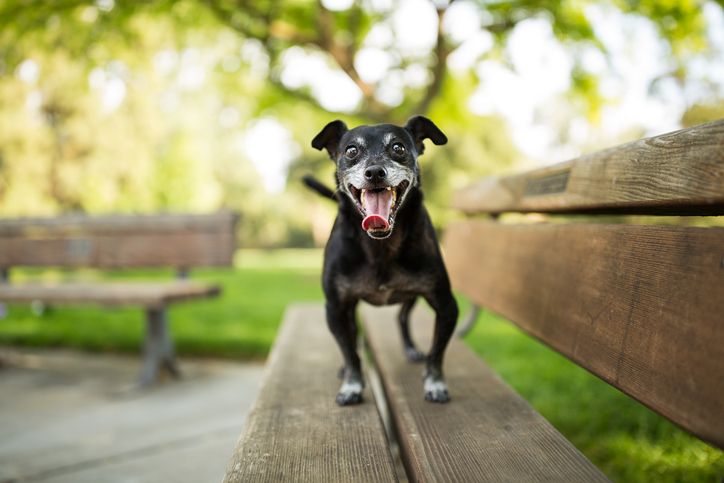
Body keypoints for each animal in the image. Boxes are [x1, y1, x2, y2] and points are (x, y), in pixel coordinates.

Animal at [306, 116, 458, 404]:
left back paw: (411, 349)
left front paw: (434, 383)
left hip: (411, 296)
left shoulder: (446, 306)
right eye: (351, 150)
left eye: (398, 147)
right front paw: (352, 385)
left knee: (402, 318)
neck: (380, 245)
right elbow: (350, 352)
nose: (375, 172)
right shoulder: (336, 308)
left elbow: (437, 352)